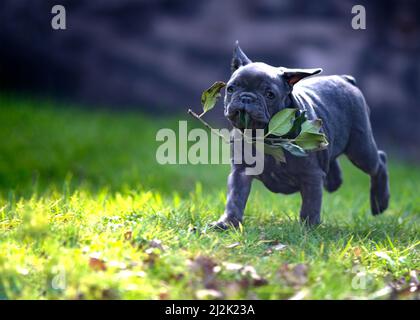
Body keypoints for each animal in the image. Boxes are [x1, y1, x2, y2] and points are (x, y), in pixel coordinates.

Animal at [210, 42, 390, 229]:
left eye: (269, 94)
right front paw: (227, 222)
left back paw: (380, 202)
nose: (246, 97)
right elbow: (235, 198)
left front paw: (308, 227)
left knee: (378, 162)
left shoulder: (311, 176)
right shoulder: (241, 171)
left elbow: (310, 204)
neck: (267, 137)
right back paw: (334, 180)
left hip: (360, 149)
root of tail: (345, 79)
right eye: (231, 89)